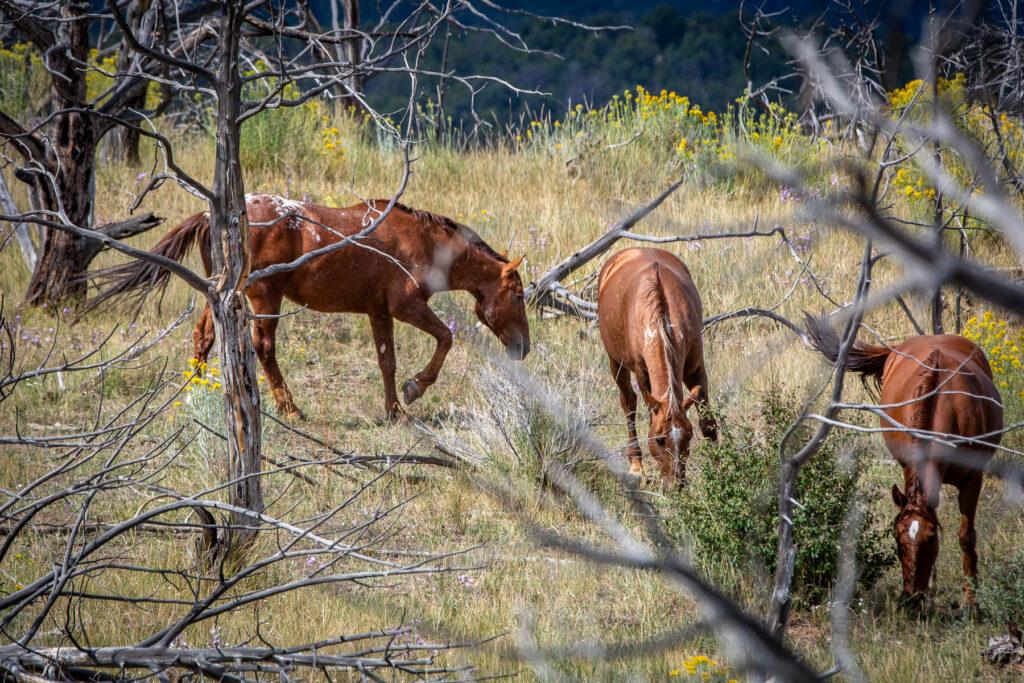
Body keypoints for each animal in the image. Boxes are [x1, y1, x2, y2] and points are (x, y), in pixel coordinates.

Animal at [92, 194, 532, 419]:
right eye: (519, 295)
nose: (523, 348)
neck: (422, 242)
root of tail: (208, 213)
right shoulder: (406, 306)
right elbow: (444, 339)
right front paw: (415, 389)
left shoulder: (379, 312)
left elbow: (386, 362)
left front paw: (393, 410)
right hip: (263, 297)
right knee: (263, 348)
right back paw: (289, 408)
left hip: (219, 294)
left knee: (203, 335)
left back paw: (196, 392)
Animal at [598, 245, 716, 485]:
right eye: (660, 438)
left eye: (688, 435)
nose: (676, 484)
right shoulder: (642, 373)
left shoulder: (695, 368)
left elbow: (708, 423)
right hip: (616, 362)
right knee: (628, 402)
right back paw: (636, 463)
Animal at [802, 321, 1003, 614]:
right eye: (897, 541)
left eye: (930, 539)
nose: (912, 599)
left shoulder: (972, 480)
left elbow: (966, 536)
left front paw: (971, 602)